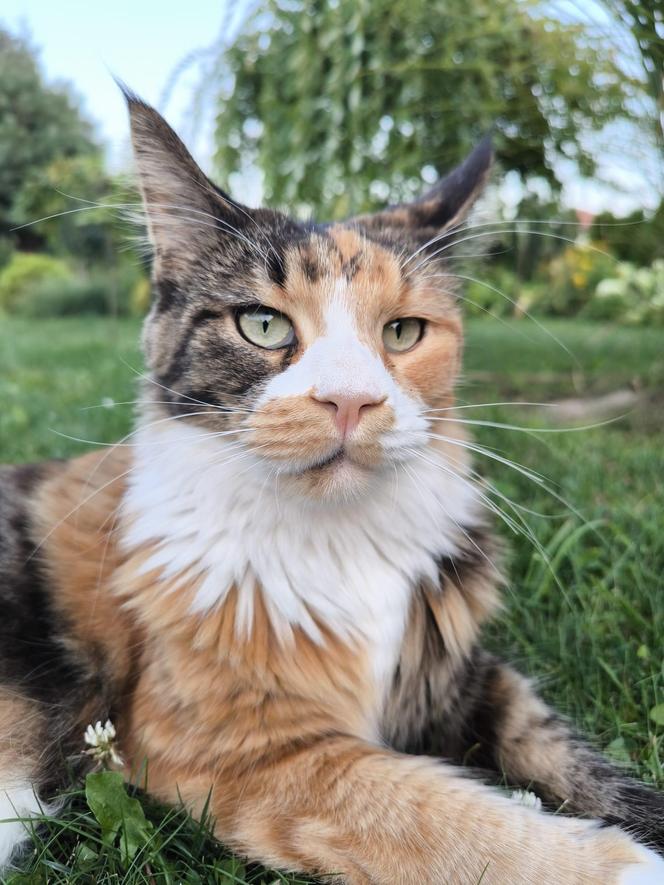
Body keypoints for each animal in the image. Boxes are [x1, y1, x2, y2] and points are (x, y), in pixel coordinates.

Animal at [1, 84, 664, 884]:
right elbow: (434, 812)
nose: (350, 400)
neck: (341, 541)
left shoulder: (463, 675)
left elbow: (574, 759)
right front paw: (618, 861)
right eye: (262, 325)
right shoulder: (235, 745)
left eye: (404, 332)